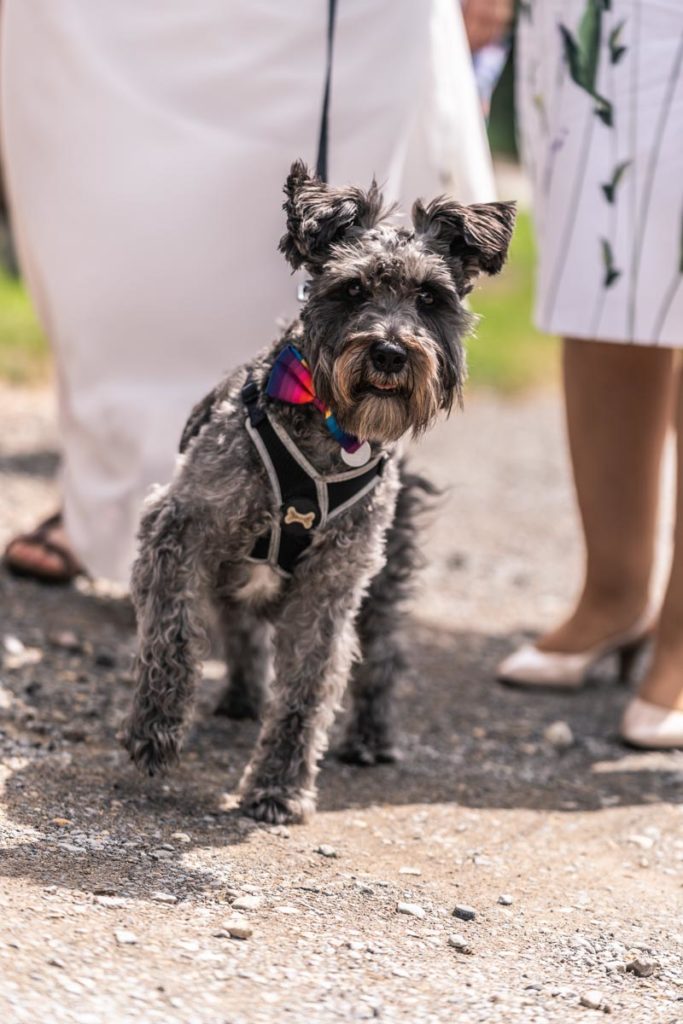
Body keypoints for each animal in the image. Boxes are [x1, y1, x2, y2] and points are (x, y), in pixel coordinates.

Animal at [121, 157, 511, 823]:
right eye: (351, 290)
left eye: (430, 298)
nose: (390, 352)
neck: (332, 428)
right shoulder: (180, 526)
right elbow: (172, 631)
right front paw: (154, 730)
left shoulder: (333, 584)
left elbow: (308, 686)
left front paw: (278, 786)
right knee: (239, 628)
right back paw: (241, 695)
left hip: (385, 582)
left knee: (383, 658)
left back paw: (372, 737)